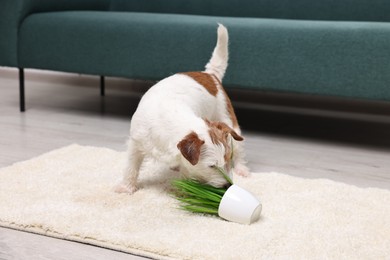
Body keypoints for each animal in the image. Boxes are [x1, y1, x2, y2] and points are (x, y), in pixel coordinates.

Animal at [116, 24, 250, 194]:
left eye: (227, 160)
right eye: (212, 166)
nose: (228, 186)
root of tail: (209, 74)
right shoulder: (136, 142)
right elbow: (131, 166)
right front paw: (126, 187)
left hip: (227, 118)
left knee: (238, 148)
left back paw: (242, 169)